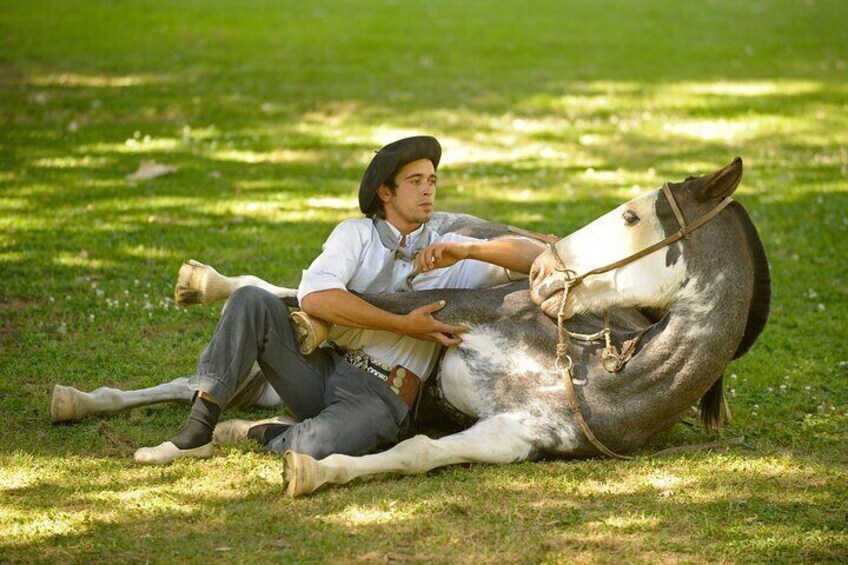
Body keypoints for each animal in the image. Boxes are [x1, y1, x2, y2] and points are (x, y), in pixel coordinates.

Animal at [51, 156, 768, 496]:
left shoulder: (513, 438)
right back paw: (194, 293)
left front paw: (312, 472)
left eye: (629, 217)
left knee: (231, 387)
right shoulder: (460, 308)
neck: (597, 373)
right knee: (274, 300)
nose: (542, 269)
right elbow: (343, 299)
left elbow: (417, 450)